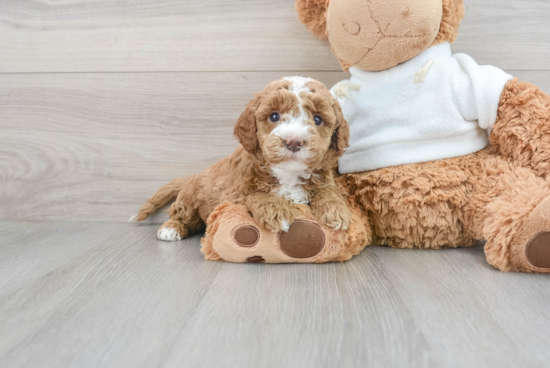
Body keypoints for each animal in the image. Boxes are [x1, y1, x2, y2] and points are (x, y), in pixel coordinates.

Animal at [133, 76, 354, 240]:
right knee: (180, 214)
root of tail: (194, 176)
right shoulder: (233, 194)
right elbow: (254, 195)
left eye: (318, 119)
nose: (294, 141)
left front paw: (337, 210)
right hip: (189, 200)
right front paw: (275, 210)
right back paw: (170, 229)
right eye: (274, 116)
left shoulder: (322, 178)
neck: (288, 173)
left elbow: (328, 190)